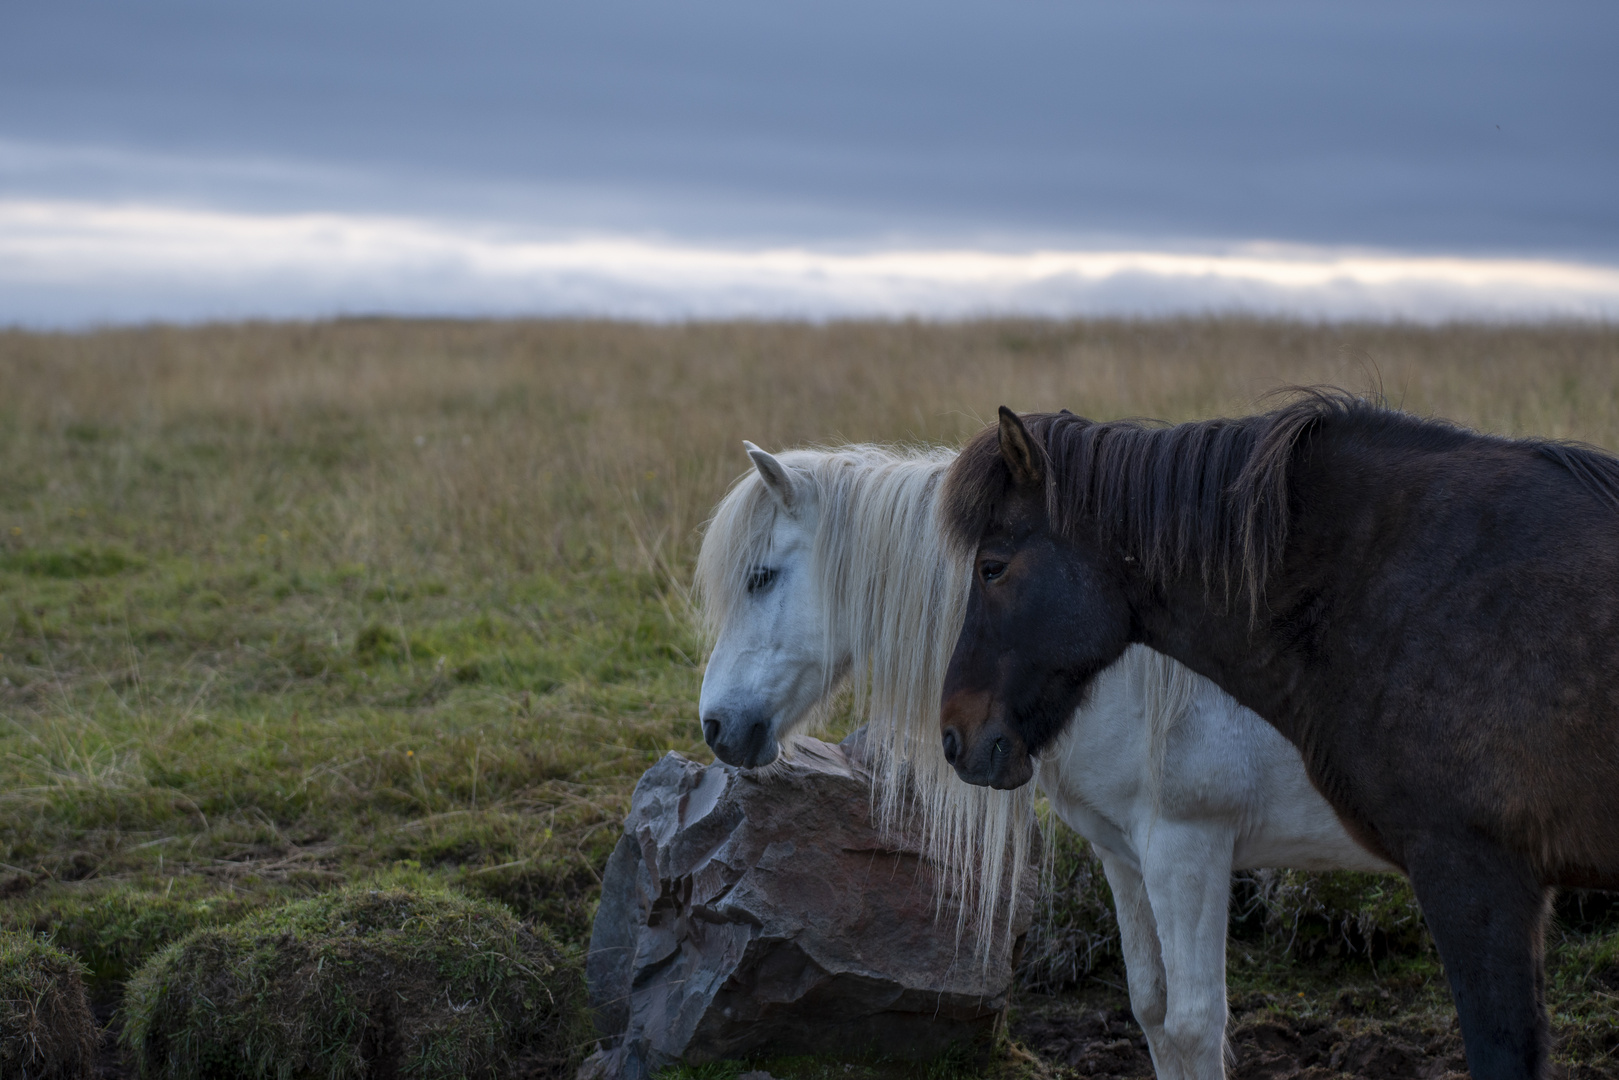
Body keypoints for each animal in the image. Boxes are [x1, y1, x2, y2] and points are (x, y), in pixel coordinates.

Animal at [689, 440, 1398, 1080]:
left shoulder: (1188, 853)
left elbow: (1195, 1027)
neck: (1110, 667)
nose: (715, 725)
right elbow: (1154, 1012)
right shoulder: (1125, 857)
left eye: (760, 577)